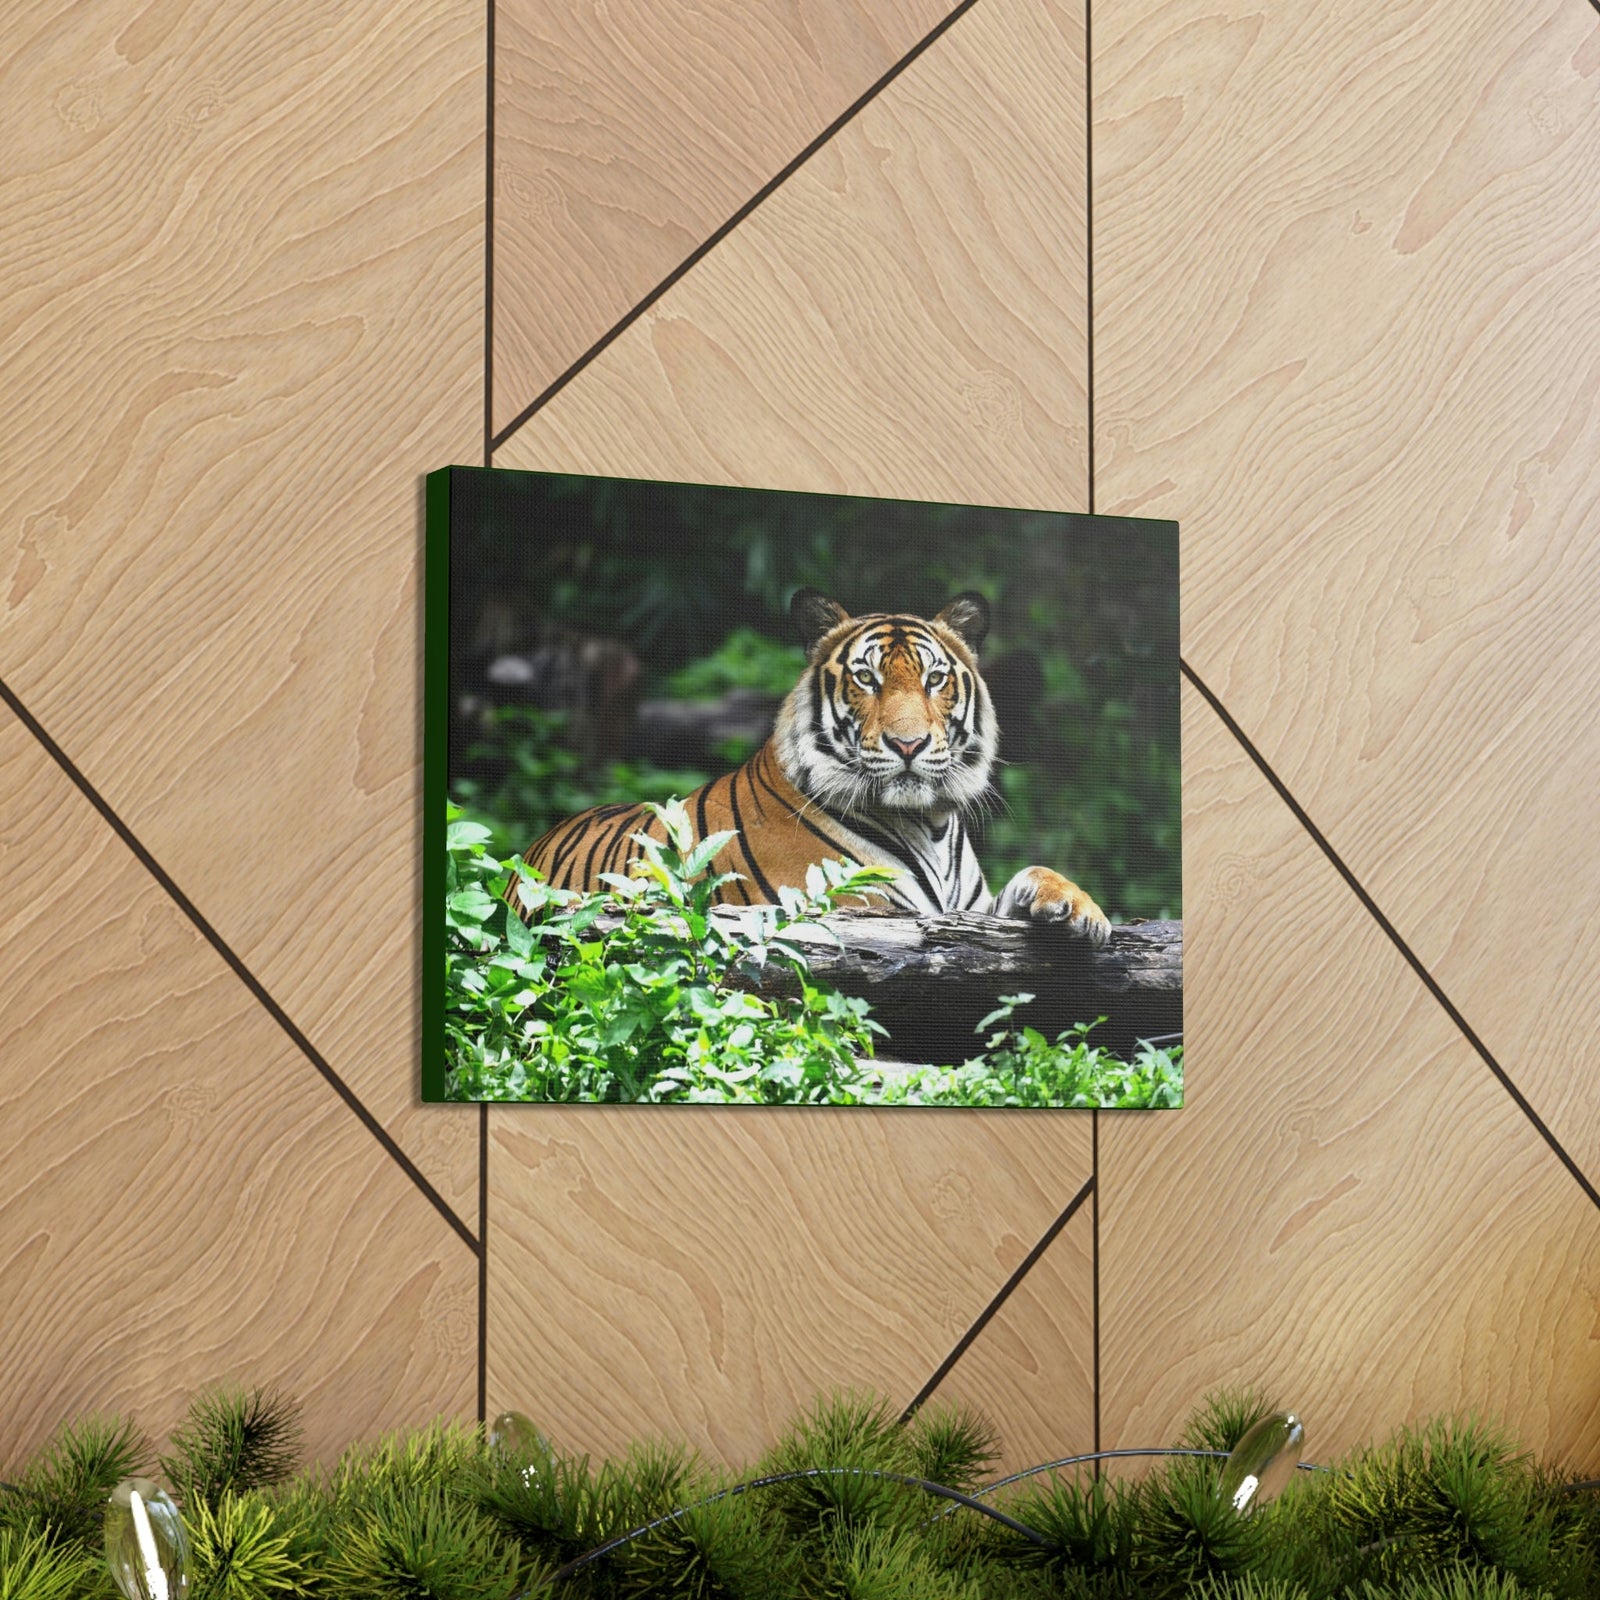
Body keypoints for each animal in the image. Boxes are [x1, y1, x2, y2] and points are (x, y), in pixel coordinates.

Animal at [513, 588, 1110, 944]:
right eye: (867, 678)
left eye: (934, 679)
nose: (909, 744)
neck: (932, 823)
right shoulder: (864, 909)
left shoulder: (970, 911)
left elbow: (1033, 875)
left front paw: (1080, 910)